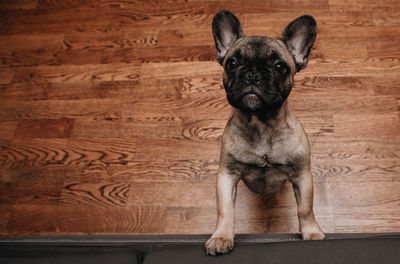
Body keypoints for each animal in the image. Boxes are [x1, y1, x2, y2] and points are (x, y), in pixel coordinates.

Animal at [206, 10, 324, 256]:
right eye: (232, 63)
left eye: (280, 67)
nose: (253, 75)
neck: (261, 122)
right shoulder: (227, 175)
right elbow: (225, 210)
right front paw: (221, 237)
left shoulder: (302, 175)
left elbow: (305, 208)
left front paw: (311, 233)